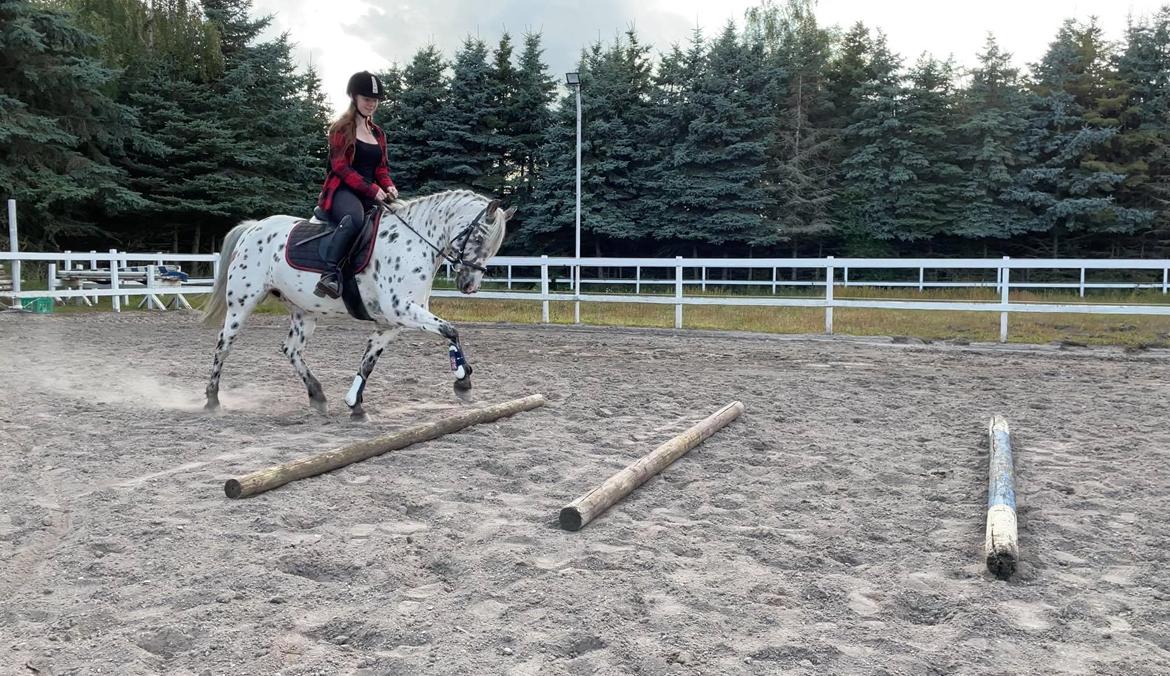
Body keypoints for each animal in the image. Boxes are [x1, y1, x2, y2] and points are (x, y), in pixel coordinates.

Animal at [200, 187, 512, 414]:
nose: (470, 285)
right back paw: (212, 399)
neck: (414, 243)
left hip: (303, 311)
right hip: (242, 303)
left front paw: (354, 403)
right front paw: (463, 380)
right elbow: (451, 330)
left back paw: (317, 394)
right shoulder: (403, 310)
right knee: (223, 345)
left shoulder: (391, 323)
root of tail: (254, 228)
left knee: (291, 349)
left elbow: (368, 361)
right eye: (479, 237)